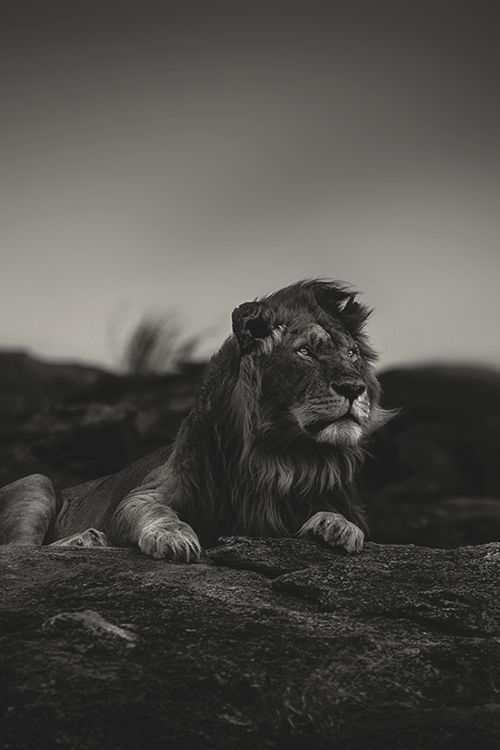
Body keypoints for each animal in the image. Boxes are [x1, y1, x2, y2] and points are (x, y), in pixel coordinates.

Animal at [0, 282, 390, 564]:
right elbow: (156, 511)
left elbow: (341, 518)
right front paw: (173, 537)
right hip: (37, 483)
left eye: (353, 354)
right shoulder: (145, 493)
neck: (282, 456)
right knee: (18, 550)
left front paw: (337, 527)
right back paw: (87, 539)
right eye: (305, 351)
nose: (354, 388)